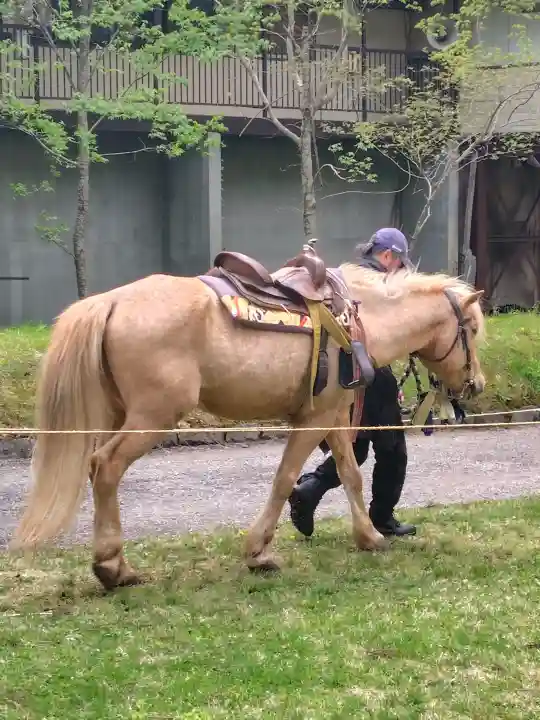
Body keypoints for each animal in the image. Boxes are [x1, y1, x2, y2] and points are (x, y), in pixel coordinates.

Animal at [10, 254, 485, 590]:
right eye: (474, 331)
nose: (476, 384)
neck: (358, 321)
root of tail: (109, 300)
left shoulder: (332, 416)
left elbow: (349, 474)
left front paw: (369, 536)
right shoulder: (311, 422)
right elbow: (285, 477)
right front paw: (259, 552)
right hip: (151, 418)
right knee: (105, 467)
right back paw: (113, 567)